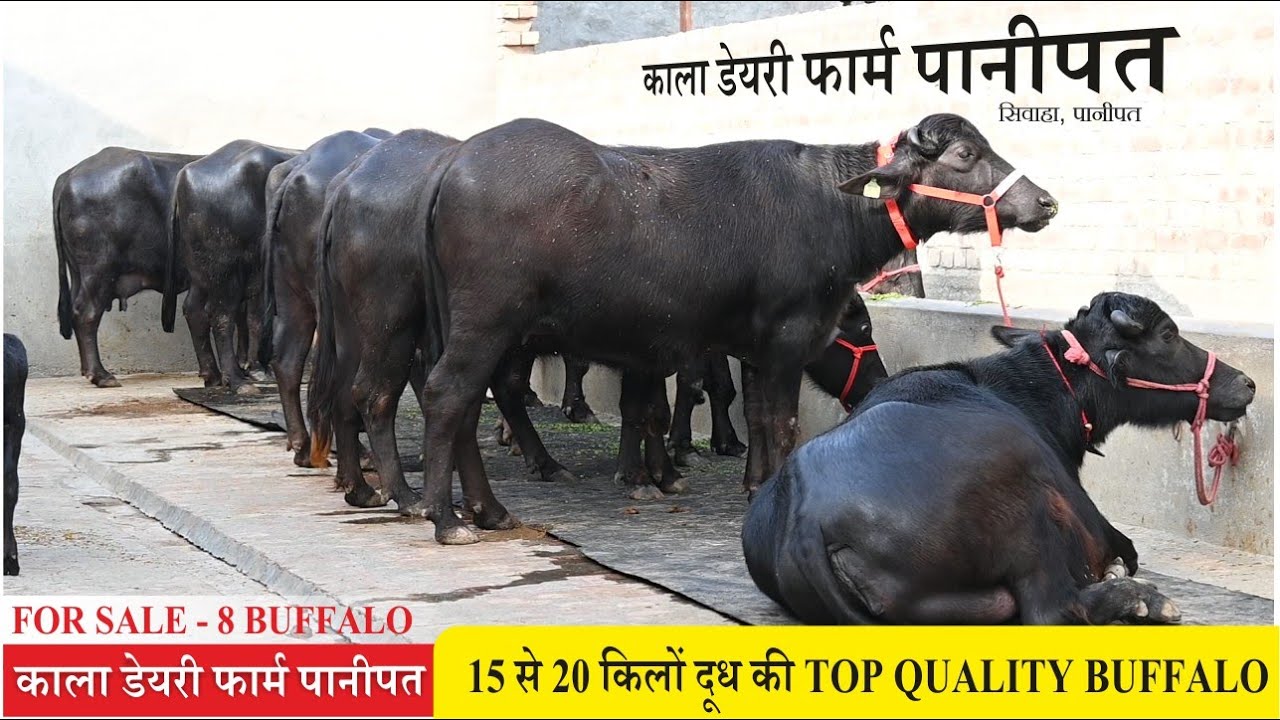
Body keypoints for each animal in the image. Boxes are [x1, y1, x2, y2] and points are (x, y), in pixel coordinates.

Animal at [411, 112, 1057, 544]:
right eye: (966, 155)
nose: (1044, 202)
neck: (831, 207)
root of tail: (451, 168)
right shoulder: (787, 341)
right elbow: (780, 422)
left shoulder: (754, 349)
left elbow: (750, 412)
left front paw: (747, 484)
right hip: (486, 323)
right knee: (448, 395)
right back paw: (447, 518)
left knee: (468, 404)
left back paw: (488, 510)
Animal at [741, 292, 1257, 625]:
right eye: (1169, 334)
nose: (1247, 383)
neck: (1031, 392)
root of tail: (807, 519)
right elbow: (1123, 551)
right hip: (1028, 510)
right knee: (1052, 609)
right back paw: (1144, 600)